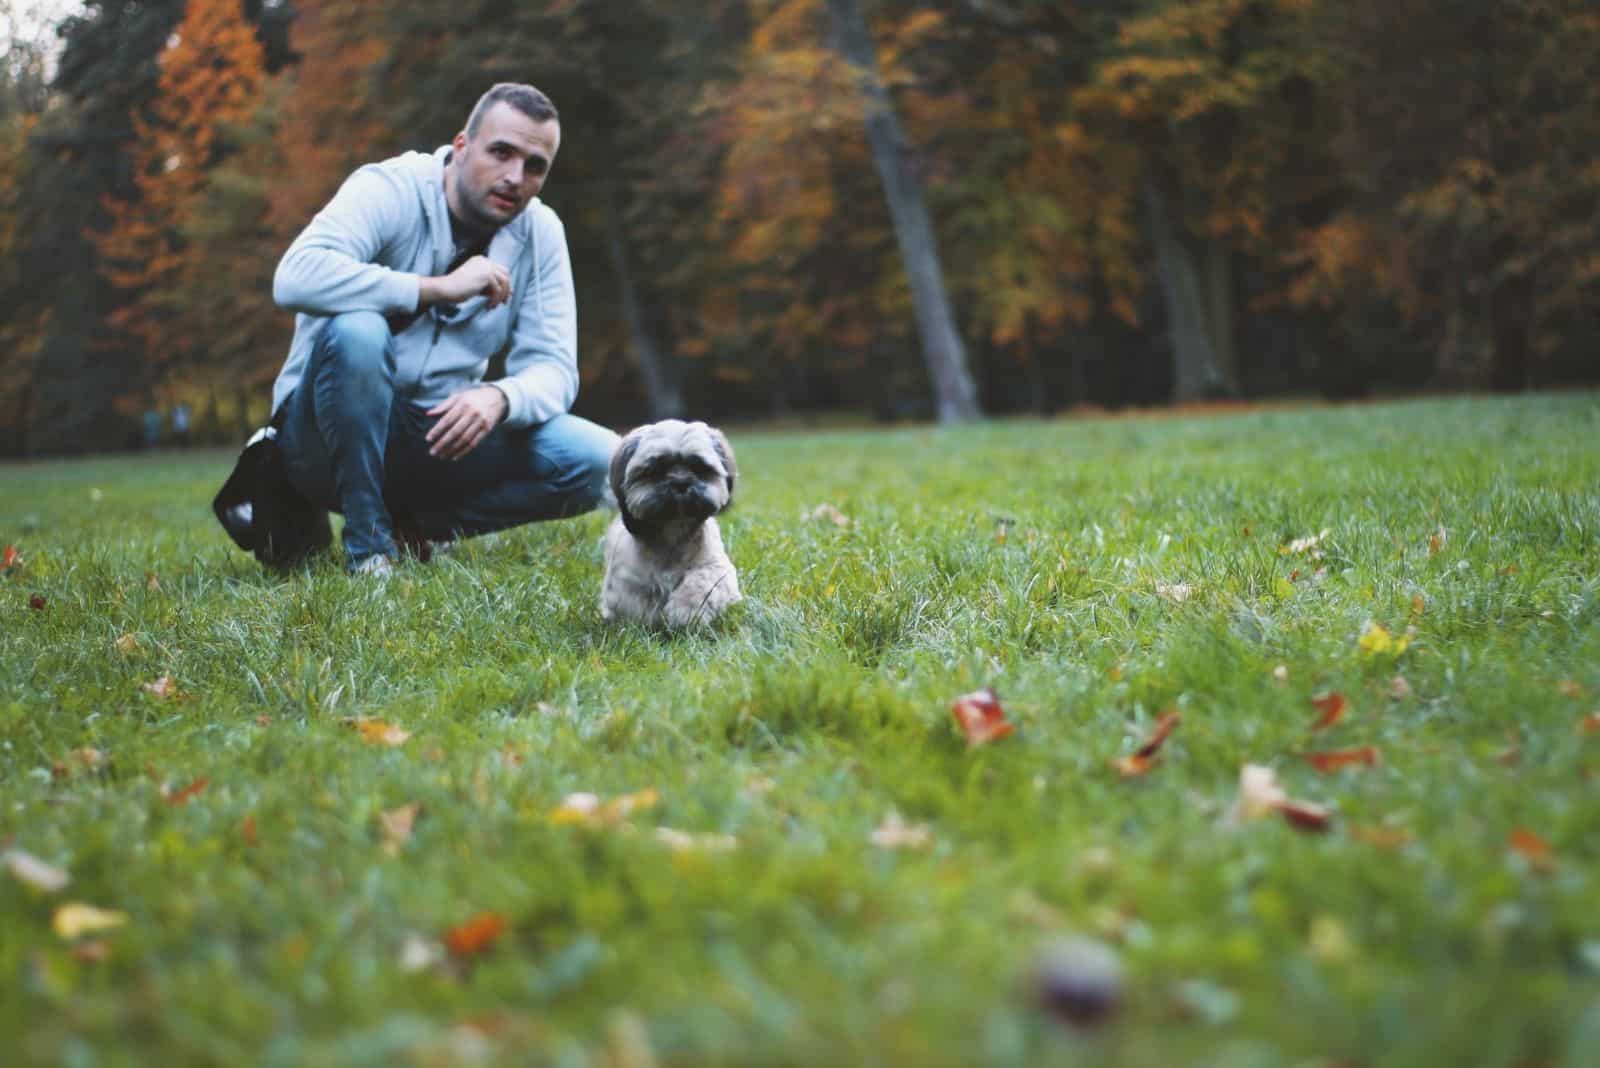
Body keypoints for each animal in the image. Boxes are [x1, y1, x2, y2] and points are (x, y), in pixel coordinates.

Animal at [601, 422, 742, 629]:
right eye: (655, 470)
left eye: (698, 467)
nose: (680, 481)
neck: (673, 530)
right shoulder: (626, 581)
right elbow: (639, 603)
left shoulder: (717, 568)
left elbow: (701, 583)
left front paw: (685, 613)